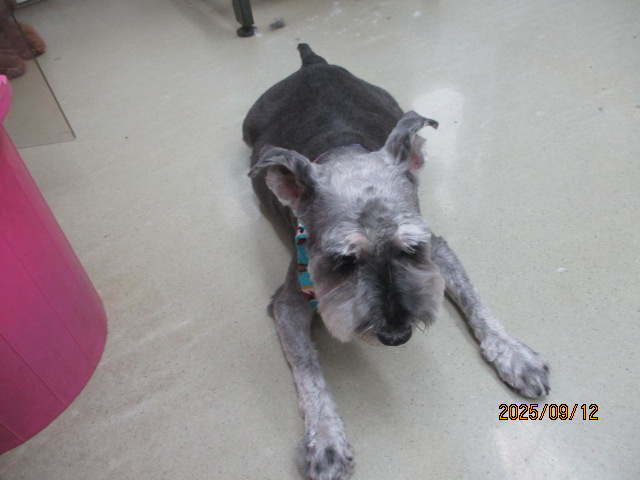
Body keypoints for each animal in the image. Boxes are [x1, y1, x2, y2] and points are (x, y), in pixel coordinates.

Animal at [245, 44, 549, 480]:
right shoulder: (288, 302)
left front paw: (513, 354)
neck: (341, 152)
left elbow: (475, 300)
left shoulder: (438, 250)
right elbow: (308, 369)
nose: (397, 335)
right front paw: (327, 441)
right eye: (343, 262)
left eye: (411, 250)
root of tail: (310, 63)